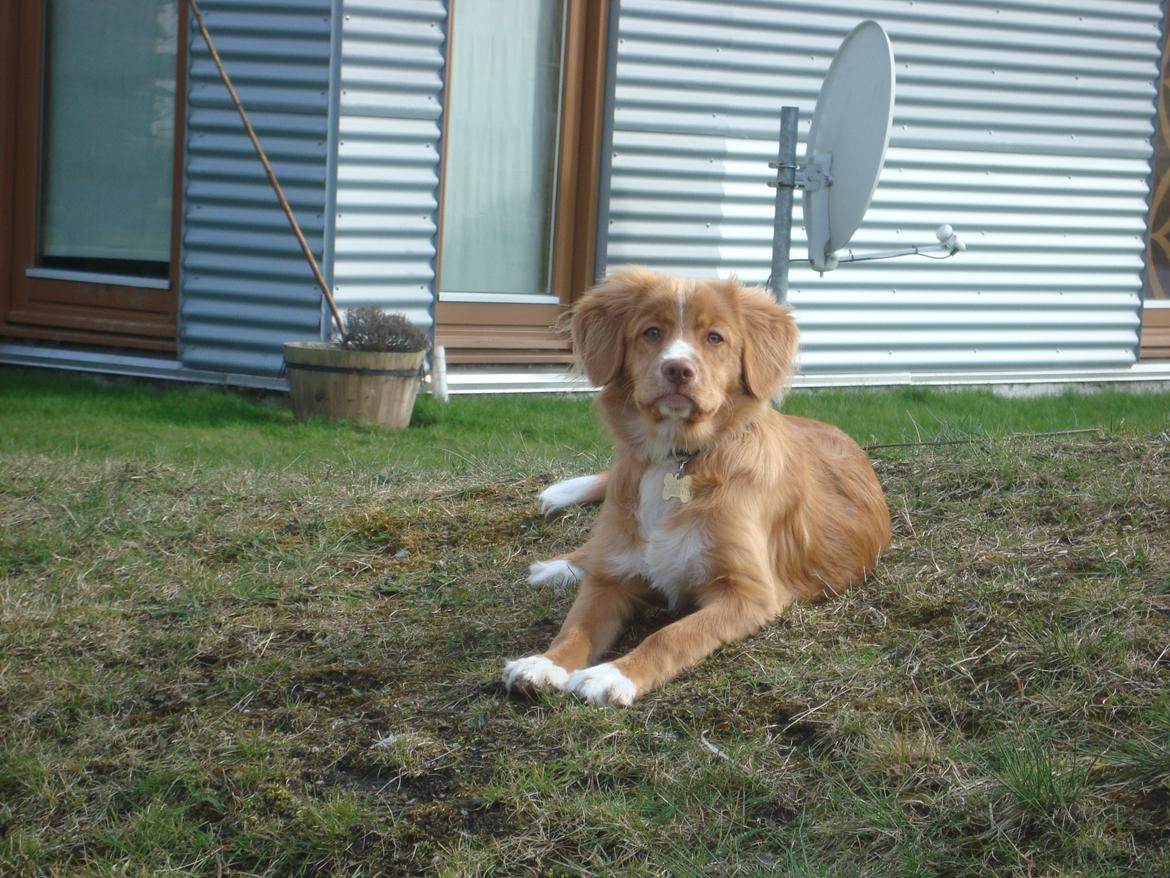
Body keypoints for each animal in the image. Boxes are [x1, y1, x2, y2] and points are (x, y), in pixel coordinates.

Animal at [498, 268, 889, 707]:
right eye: (652, 332)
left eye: (714, 338)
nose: (678, 370)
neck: (680, 457)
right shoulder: (611, 579)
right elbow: (576, 627)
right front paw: (545, 663)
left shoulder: (748, 594)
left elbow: (672, 636)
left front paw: (614, 674)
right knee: (595, 549)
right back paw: (559, 562)